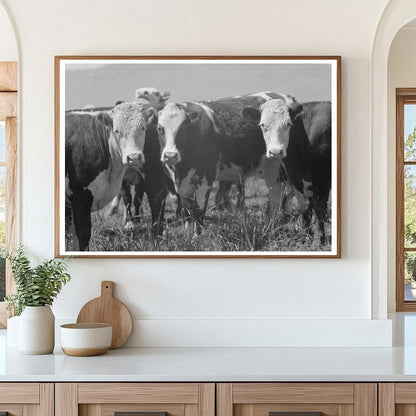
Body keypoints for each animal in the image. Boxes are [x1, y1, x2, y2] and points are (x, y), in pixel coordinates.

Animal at [157, 101, 221, 231]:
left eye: (183, 127)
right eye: (160, 128)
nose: (170, 156)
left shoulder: (206, 177)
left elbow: (199, 210)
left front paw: (197, 235)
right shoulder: (181, 185)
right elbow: (187, 209)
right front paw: (187, 231)